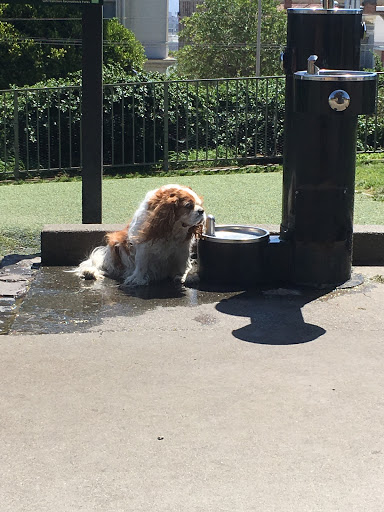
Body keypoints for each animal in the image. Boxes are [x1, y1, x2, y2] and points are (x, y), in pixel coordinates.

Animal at [76, 185, 206, 288]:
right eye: (188, 205)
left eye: (200, 204)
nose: (202, 211)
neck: (173, 227)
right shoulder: (143, 245)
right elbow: (141, 263)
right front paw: (137, 279)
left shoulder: (183, 246)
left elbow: (183, 262)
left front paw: (184, 275)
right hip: (115, 244)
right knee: (107, 266)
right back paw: (90, 272)